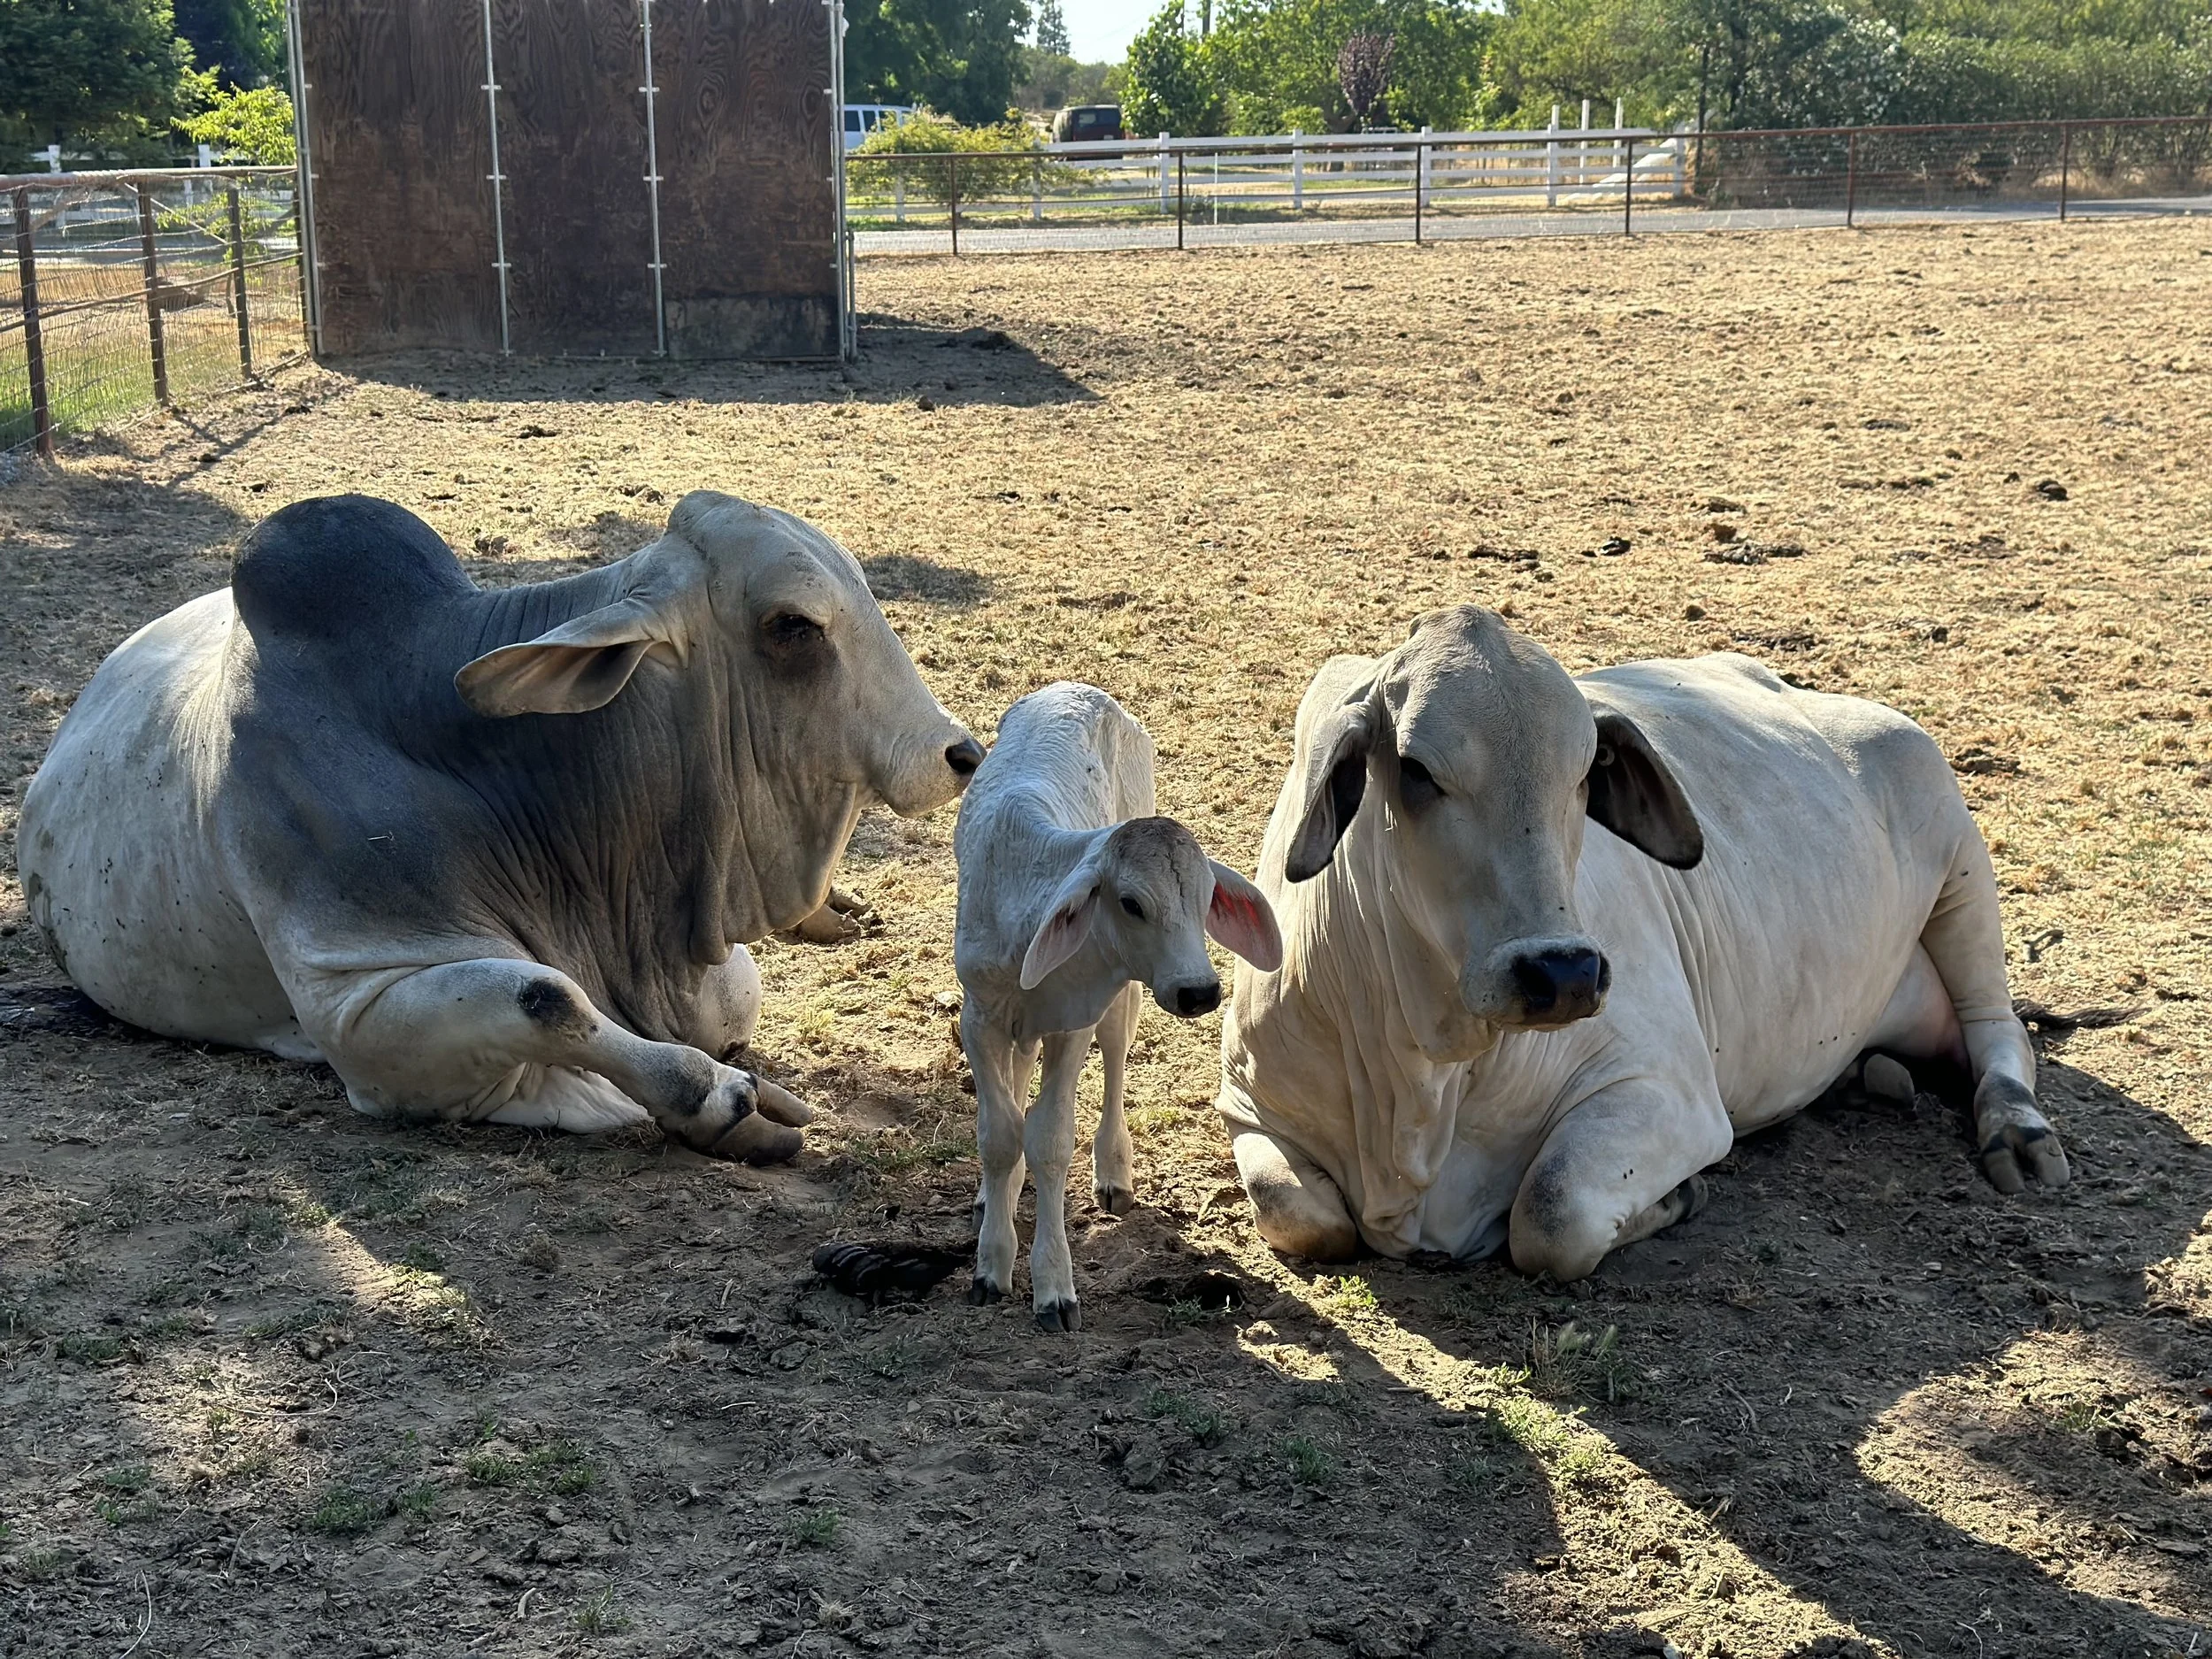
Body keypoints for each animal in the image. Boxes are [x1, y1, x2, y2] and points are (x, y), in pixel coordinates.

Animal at [17, 492, 984, 1164]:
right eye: (793, 626)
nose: (960, 751)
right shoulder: (354, 1003)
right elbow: (548, 998)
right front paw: (725, 1102)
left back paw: (837, 911)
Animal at [953, 683, 1281, 1329]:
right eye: (1130, 902)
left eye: (1206, 897)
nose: (1199, 990)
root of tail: (1080, 690)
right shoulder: (977, 1016)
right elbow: (1000, 1134)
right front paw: (990, 1263)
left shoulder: (1073, 1019)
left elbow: (1050, 1139)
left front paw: (1053, 1286)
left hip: (1116, 1001)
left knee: (1114, 1056)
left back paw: (1112, 1172)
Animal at [1217, 605, 2067, 1280]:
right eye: (1418, 770)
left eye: (1588, 768)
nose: (1562, 972)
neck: (1425, 1073)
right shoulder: (1248, 1101)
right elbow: (1300, 1213)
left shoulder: (1671, 1092)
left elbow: (1551, 1211)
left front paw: (1680, 1194)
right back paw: (1873, 1074)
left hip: (1961, 855)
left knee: (2000, 1030)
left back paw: (2016, 1128)